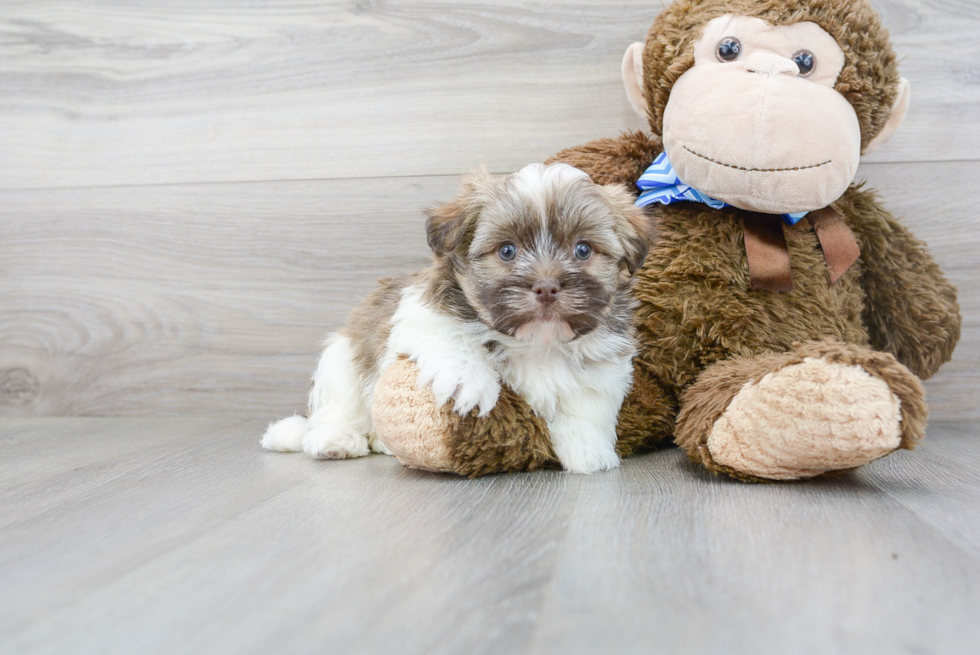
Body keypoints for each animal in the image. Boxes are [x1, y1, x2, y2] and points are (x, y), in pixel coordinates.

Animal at [264, 162, 656, 474]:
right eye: (507, 251)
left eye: (583, 250)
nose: (546, 287)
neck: (537, 342)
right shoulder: (417, 315)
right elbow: (450, 336)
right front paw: (469, 381)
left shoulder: (605, 362)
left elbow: (589, 402)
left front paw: (588, 449)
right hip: (341, 359)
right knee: (335, 408)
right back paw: (336, 440)